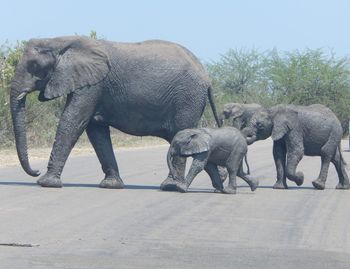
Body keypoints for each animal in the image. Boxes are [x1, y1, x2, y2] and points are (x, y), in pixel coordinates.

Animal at [10, 35, 221, 188]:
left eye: (34, 66)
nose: (36, 171)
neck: (60, 40)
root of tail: (207, 77)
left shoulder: (92, 86)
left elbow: (73, 121)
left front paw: (46, 183)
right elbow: (96, 131)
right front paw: (111, 185)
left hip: (187, 98)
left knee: (181, 135)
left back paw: (172, 186)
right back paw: (220, 184)